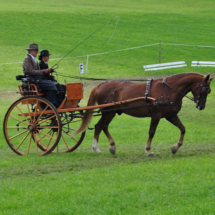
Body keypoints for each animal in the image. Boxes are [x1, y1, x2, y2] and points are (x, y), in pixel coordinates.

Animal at [74, 72, 212, 156]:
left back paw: (97, 148)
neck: (168, 90)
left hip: (108, 113)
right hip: (109, 112)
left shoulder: (170, 115)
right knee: (103, 126)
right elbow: (152, 132)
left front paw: (175, 147)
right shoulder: (156, 115)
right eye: (205, 90)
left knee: (99, 126)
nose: (201, 106)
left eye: (209, 91)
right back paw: (110, 147)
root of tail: (101, 84)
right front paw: (149, 150)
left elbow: (182, 128)